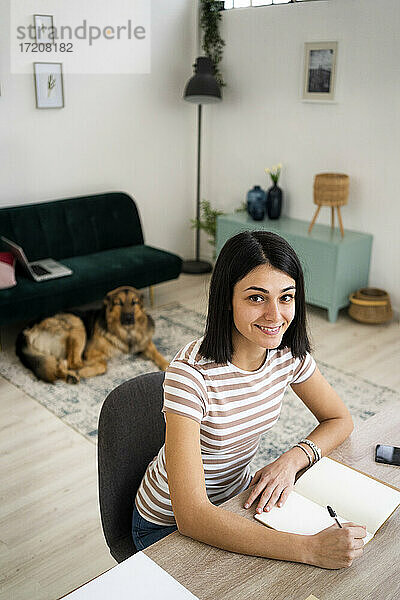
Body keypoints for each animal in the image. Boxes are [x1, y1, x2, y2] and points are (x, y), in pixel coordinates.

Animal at [15, 288, 169, 384]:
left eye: (134, 302)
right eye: (119, 303)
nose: (128, 318)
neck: (126, 332)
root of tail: (25, 331)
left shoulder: (145, 343)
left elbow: (157, 353)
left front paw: (167, 365)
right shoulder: (91, 352)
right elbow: (102, 363)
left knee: (60, 364)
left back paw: (69, 375)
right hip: (77, 324)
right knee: (73, 363)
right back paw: (75, 373)